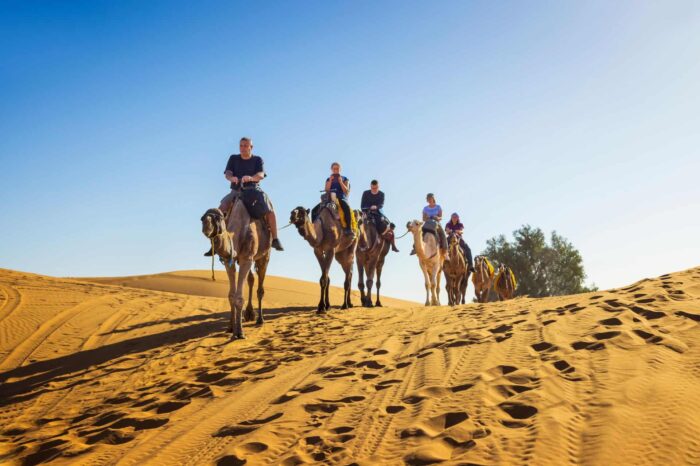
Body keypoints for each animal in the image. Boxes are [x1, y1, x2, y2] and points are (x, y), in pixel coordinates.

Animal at [201, 193, 272, 338]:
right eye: (202, 217)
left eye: (219, 218)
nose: (205, 223)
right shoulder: (229, 260)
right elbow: (231, 296)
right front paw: (230, 328)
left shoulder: (246, 259)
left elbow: (239, 298)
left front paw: (239, 333)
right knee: (251, 279)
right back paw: (249, 314)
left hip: (264, 255)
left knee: (260, 287)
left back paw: (260, 319)